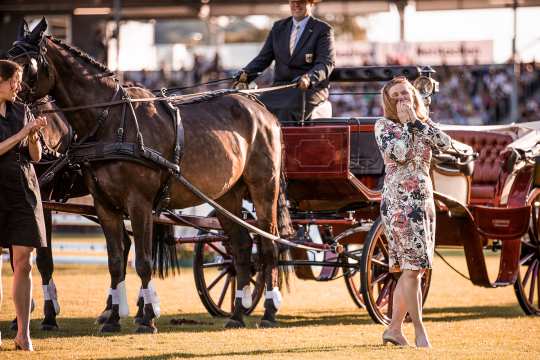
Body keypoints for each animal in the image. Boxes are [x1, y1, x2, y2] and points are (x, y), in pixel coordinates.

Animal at [8, 17, 294, 332]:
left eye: (25, 63)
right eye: (8, 55)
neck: (111, 121)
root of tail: (261, 108)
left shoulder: (137, 202)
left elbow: (142, 261)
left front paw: (146, 318)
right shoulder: (104, 205)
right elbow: (115, 260)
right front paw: (114, 319)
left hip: (264, 189)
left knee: (268, 246)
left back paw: (268, 311)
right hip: (226, 196)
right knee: (242, 248)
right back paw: (237, 314)